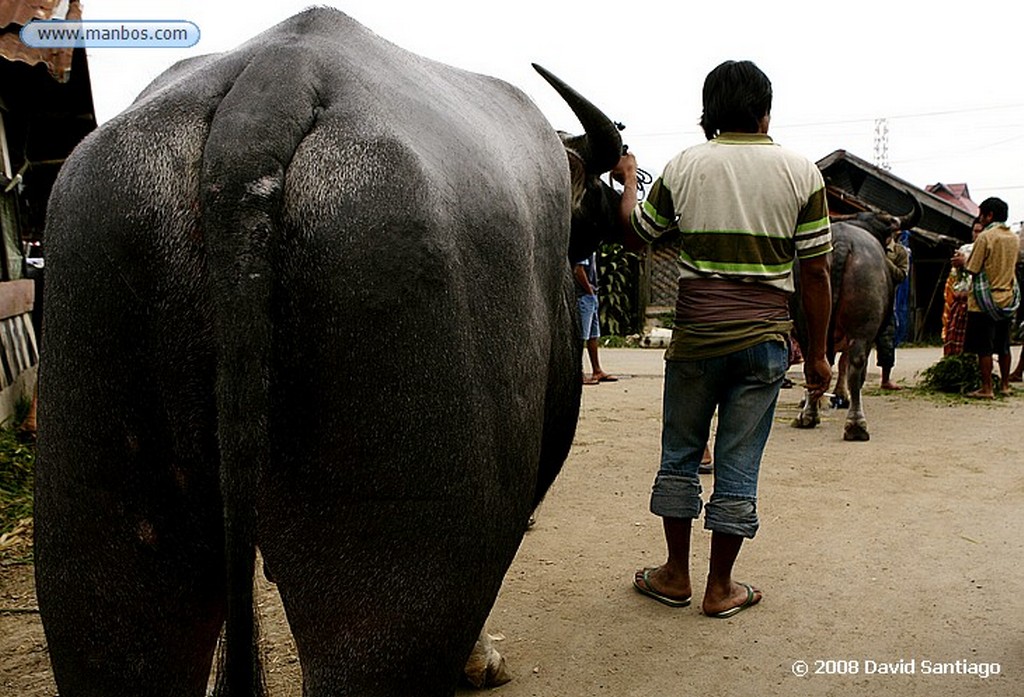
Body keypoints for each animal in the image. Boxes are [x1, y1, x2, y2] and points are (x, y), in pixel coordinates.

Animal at [790, 202, 921, 440]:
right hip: (861, 327)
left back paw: (814, 415)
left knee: (819, 364)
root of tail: (842, 243)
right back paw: (851, 423)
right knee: (854, 366)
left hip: (812, 323)